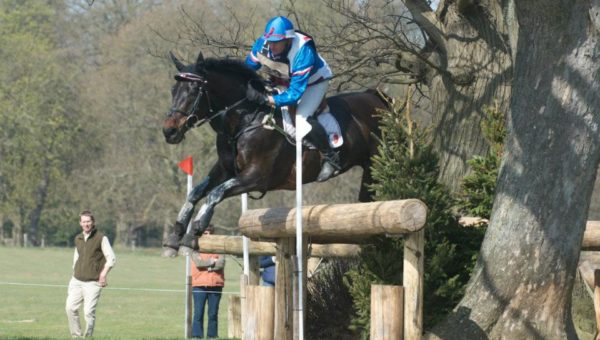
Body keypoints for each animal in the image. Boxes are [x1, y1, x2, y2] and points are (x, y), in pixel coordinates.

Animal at [162, 51, 386, 256]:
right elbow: (196, 192)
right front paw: (177, 233)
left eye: (194, 90)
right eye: (173, 90)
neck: (245, 120)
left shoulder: (256, 177)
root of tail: (377, 98)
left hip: (374, 164)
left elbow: (215, 194)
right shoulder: (225, 170)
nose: (169, 131)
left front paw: (195, 231)